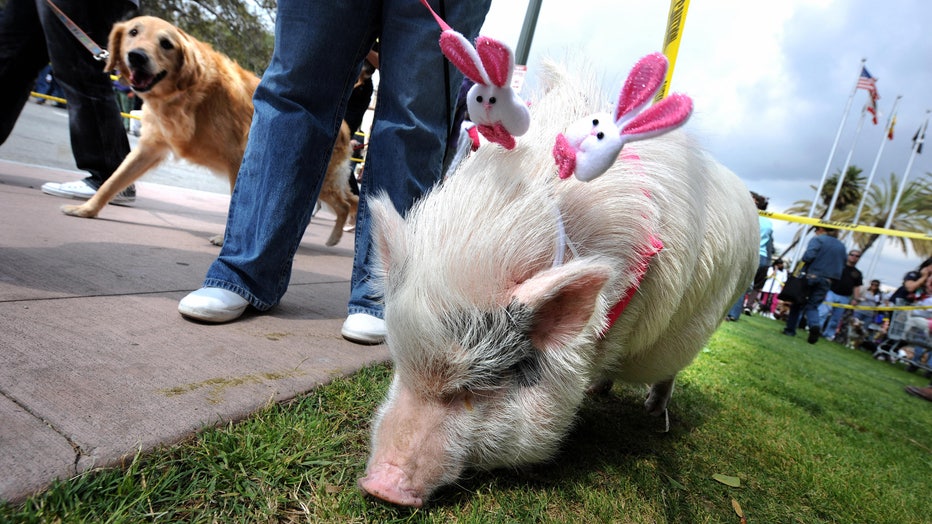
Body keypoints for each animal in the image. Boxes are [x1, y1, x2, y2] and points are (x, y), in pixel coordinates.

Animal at [59, 15, 356, 247]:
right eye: (133, 32)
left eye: (166, 44)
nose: (137, 57)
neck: (188, 91)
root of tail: (343, 125)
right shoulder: (149, 149)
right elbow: (112, 181)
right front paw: (87, 209)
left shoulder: (239, 159)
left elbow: (238, 207)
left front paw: (226, 241)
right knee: (349, 200)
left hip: (317, 180)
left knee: (348, 203)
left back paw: (336, 238)